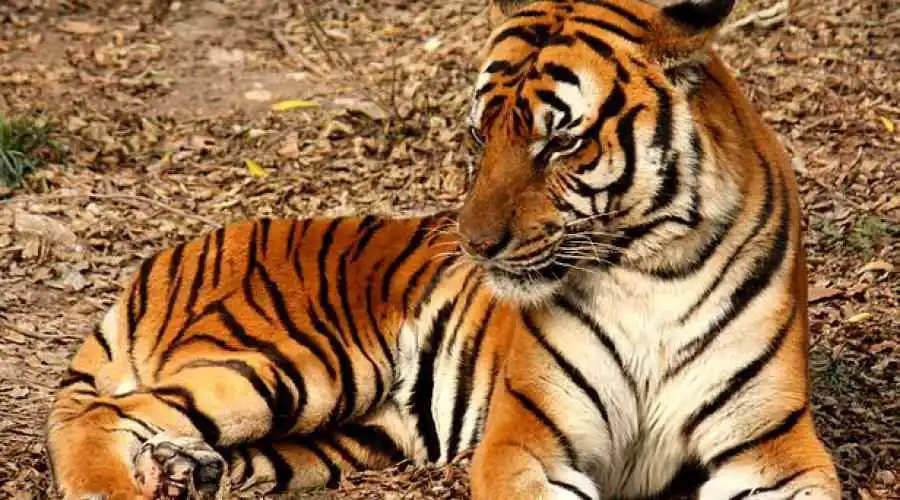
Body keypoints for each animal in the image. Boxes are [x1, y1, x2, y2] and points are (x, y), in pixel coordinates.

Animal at [46, 0, 841, 499]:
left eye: (560, 142)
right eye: (481, 133)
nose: (476, 246)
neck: (650, 269)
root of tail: (171, 254)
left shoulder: (772, 447)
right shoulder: (525, 439)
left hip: (339, 435)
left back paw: (181, 471)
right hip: (293, 363)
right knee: (97, 415)